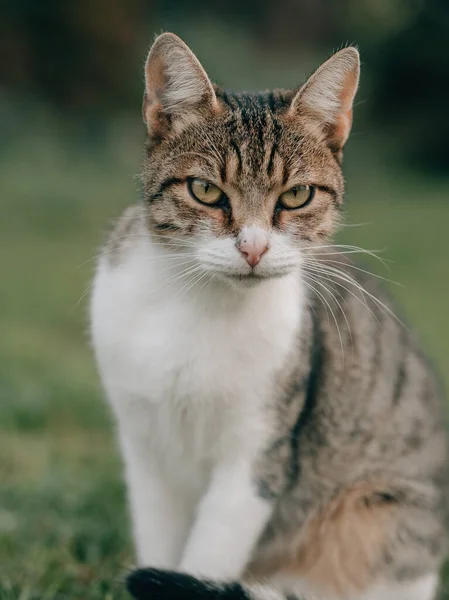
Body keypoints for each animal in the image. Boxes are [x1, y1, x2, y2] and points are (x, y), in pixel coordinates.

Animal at [89, 31, 446, 600]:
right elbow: (158, 537)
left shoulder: (257, 456)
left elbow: (207, 556)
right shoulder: (144, 447)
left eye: (296, 195)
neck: (201, 307)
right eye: (206, 191)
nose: (253, 248)